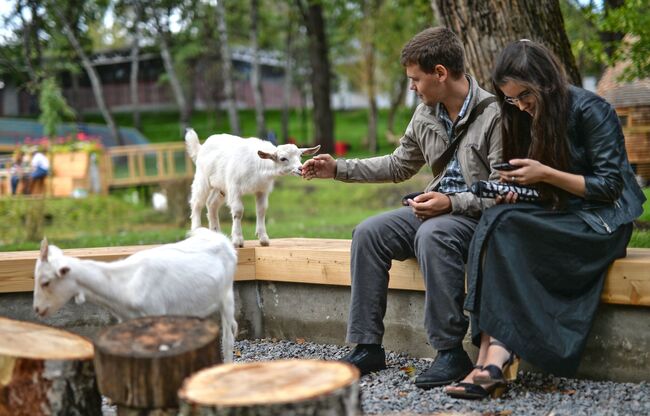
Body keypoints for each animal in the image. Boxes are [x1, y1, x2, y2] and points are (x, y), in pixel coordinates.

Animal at [33, 229, 238, 362]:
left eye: (45, 282)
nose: (37, 309)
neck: (126, 283)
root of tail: (222, 239)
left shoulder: (156, 314)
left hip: (227, 295)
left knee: (228, 339)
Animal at [185, 128, 318, 247]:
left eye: (300, 156)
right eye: (283, 158)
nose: (300, 169)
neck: (259, 166)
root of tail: (201, 147)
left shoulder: (262, 190)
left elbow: (261, 210)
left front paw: (263, 238)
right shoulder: (234, 188)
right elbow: (238, 211)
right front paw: (238, 240)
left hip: (220, 187)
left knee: (211, 204)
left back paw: (216, 232)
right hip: (202, 179)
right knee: (197, 203)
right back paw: (196, 230)